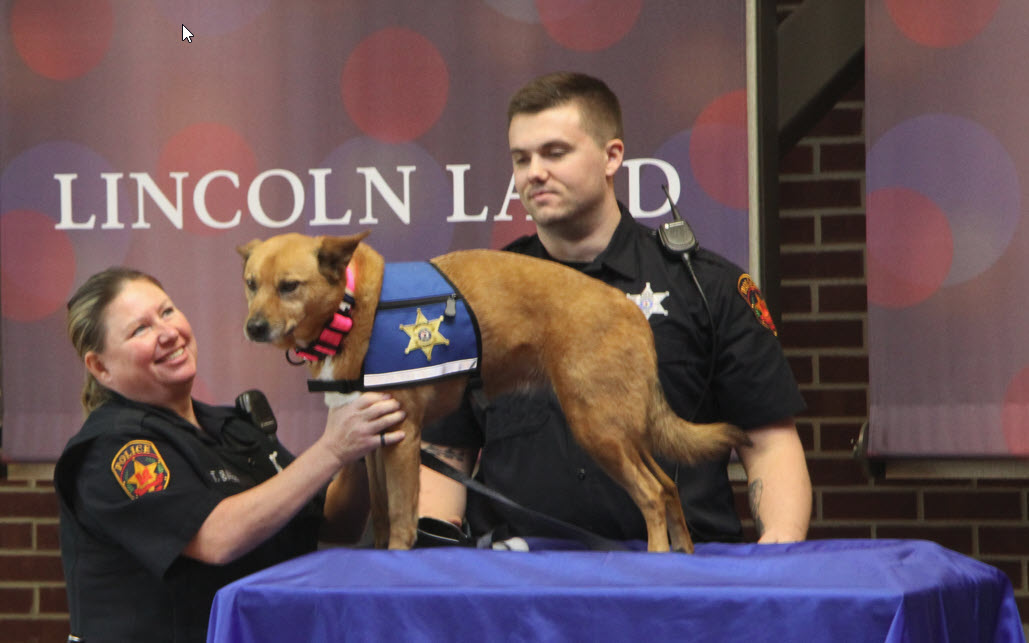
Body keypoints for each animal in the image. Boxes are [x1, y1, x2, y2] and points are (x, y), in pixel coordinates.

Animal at [236, 230, 744, 551]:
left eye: (289, 286)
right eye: (250, 285)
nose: (252, 328)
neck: (353, 305)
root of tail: (632, 311)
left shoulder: (404, 440)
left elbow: (401, 520)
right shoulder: (374, 443)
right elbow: (380, 516)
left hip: (598, 431)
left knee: (652, 495)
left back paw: (657, 559)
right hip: (620, 432)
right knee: (668, 487)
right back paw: (685, 557)